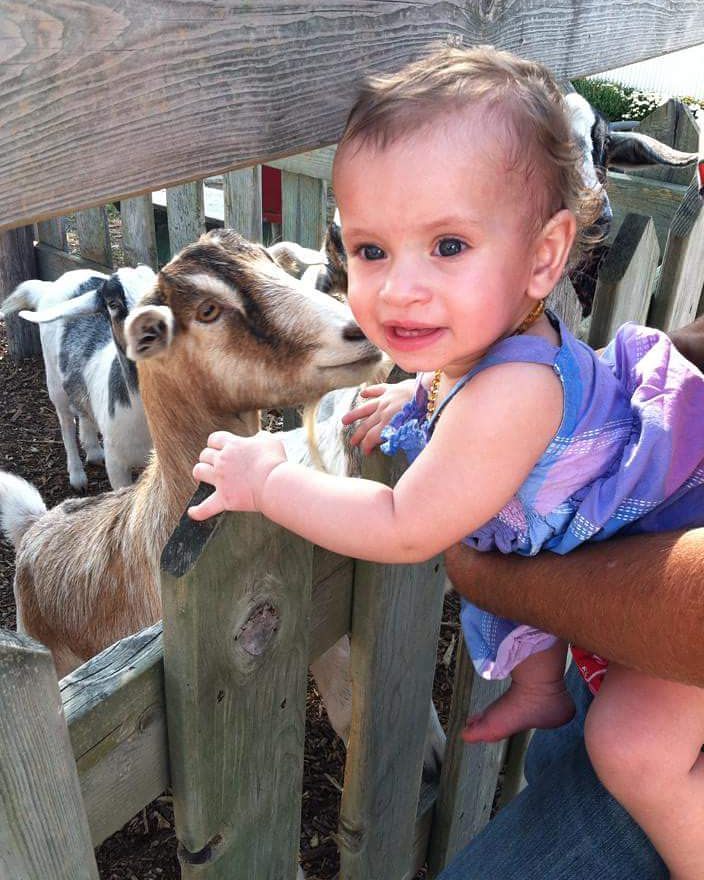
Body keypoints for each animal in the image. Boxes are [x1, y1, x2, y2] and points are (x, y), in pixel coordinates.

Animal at [1, 264, 155, 492]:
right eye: (113, 304)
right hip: (54, 382)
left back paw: (93, 450)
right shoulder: (117, 463)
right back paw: (77, 476)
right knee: (66, 422)